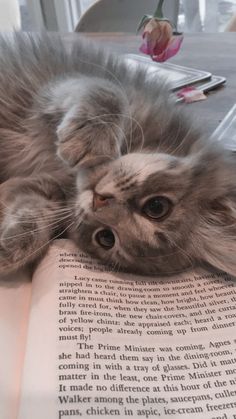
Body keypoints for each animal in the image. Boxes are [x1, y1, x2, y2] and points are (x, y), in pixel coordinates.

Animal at [0, 34, 235, 278]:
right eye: (157, 207)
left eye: (106, 238)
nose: (99, 200)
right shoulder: (67, 85)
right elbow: (108, 93)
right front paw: (89, 140)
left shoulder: (46, 189)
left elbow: (31, 210)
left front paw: (12, 248)